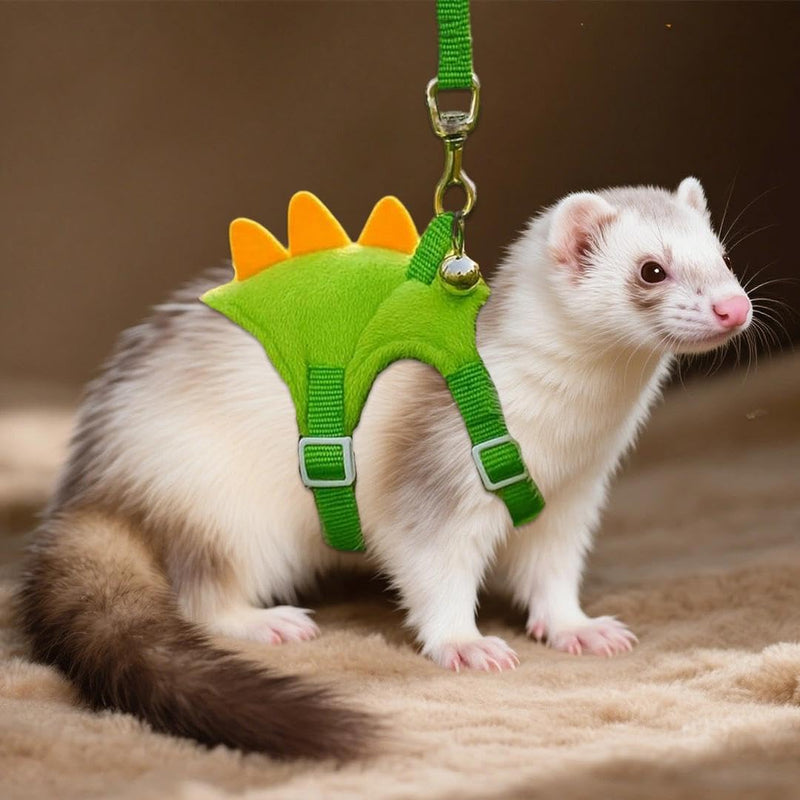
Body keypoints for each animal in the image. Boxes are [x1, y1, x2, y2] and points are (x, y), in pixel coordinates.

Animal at [17, 178, 753, 757]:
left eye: (721, 255)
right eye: (651, 269)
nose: (734, 306)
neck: (569, 437)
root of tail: (94, 481)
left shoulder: (570, 501)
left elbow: (551, 574)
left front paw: (578, 628)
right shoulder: (434, 480)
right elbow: (431, 568)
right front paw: (466, 643)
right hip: (224, 508)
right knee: (204, 595)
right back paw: (266, 621)